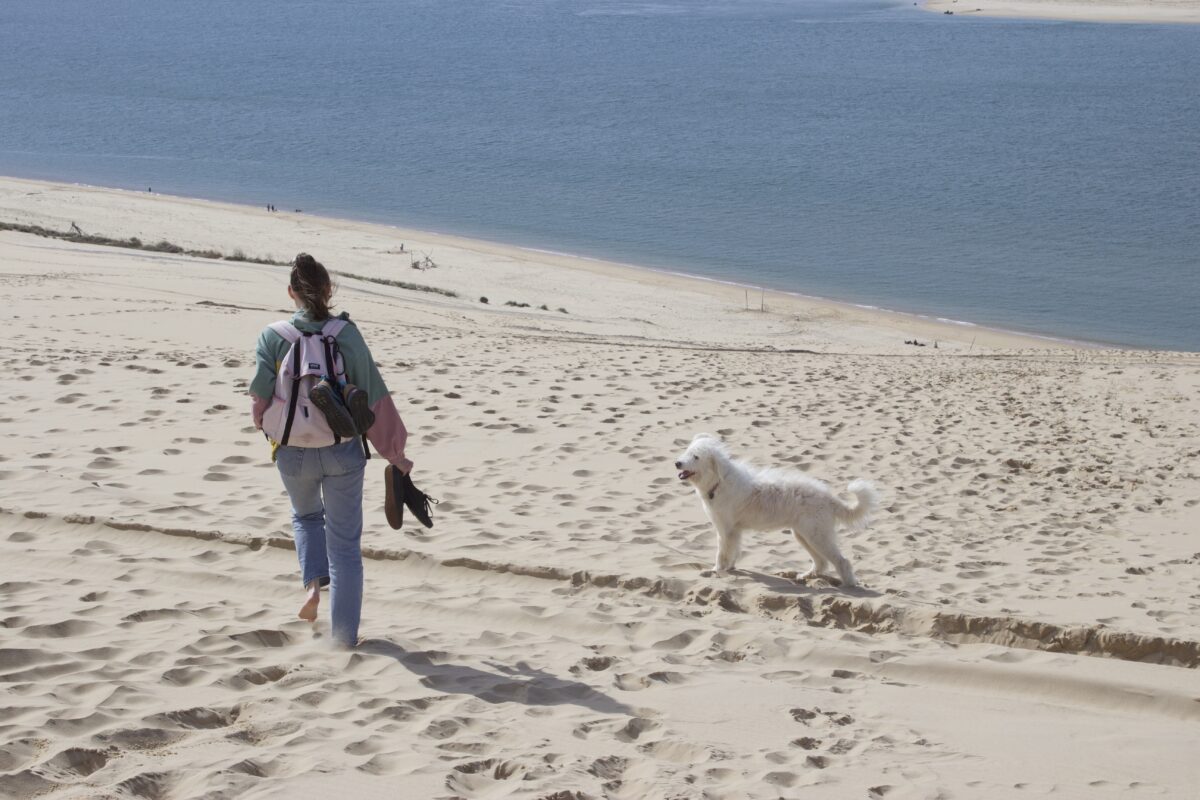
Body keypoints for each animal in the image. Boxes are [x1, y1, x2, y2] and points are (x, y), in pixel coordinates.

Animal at [676, 434, 883, 585]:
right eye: (687, 451)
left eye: (696, 457)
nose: (677, 463)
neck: (719, 482)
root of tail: (830, 498)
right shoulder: (734, 530)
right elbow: (733, 550)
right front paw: (730, 568)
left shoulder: (725, 529)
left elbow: (722, 552)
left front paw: (716, 570)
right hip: (804, 534)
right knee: (822, 562)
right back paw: (806, 576)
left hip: (817, 535)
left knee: (841, 561)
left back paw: (849, 585)